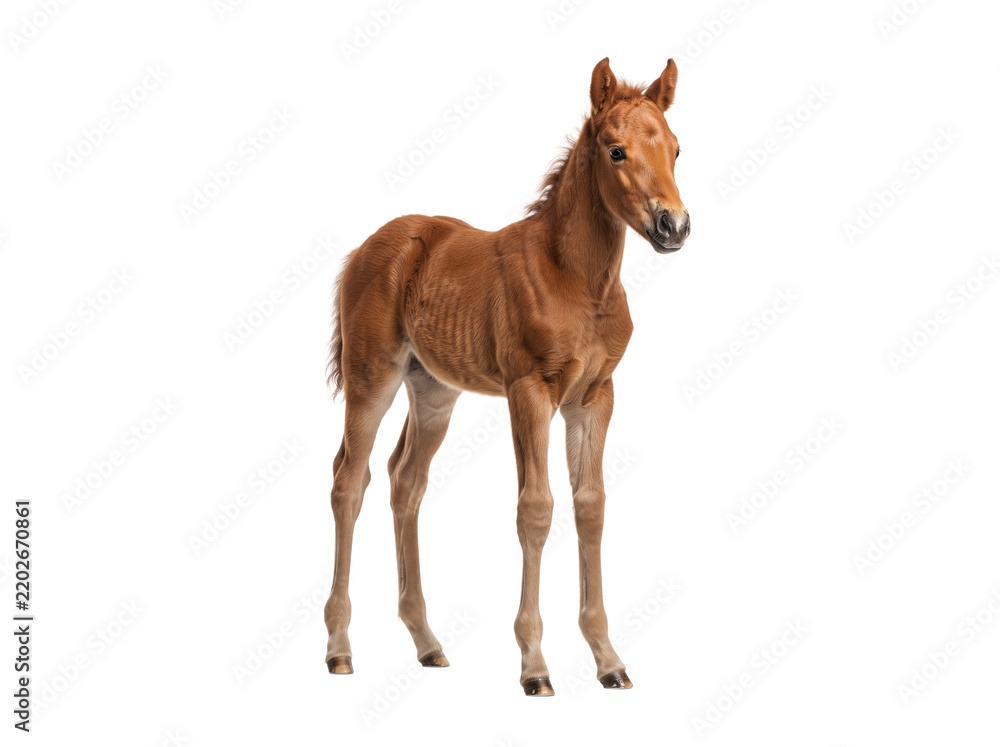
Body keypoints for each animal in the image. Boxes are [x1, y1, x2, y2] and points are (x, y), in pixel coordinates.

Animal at [323, 57, 689, 696]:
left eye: (676, 148)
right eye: (615, 151)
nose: (674, 225)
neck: (577, 281)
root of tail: (363, 250)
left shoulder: (594, 397)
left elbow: (590, 506)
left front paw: (608, 659)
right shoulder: (530, 390)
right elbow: (535, 508)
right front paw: (534, 666)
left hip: (433, 391)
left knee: (404, 480)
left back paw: (427, 644)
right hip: (372, 378)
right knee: (350, 480)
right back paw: (340, 648)